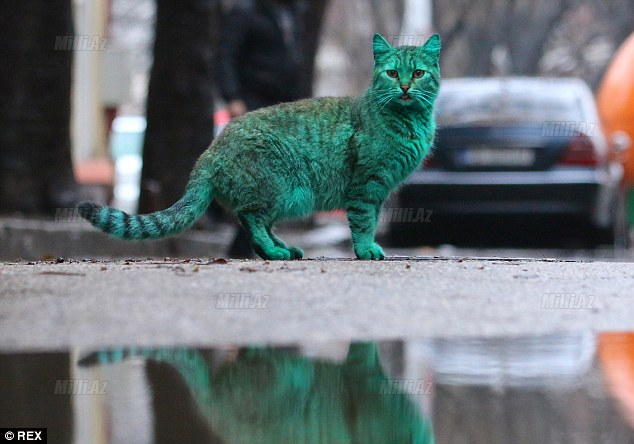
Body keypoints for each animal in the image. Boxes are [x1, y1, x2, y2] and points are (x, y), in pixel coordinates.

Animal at [78, 33, 440, 260]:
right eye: (392, 73)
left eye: (418, 73)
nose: (404, 87)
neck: (409, 121)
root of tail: (210, 150)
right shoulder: (366, 185)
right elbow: (364, 223)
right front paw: (367, 250)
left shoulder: (379, 191)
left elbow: (372, 221)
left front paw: (370, 247)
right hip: (279, 187)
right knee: (251, 218)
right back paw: (276, 251)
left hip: (286, 195)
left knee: (258, 222)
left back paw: (282, 249)